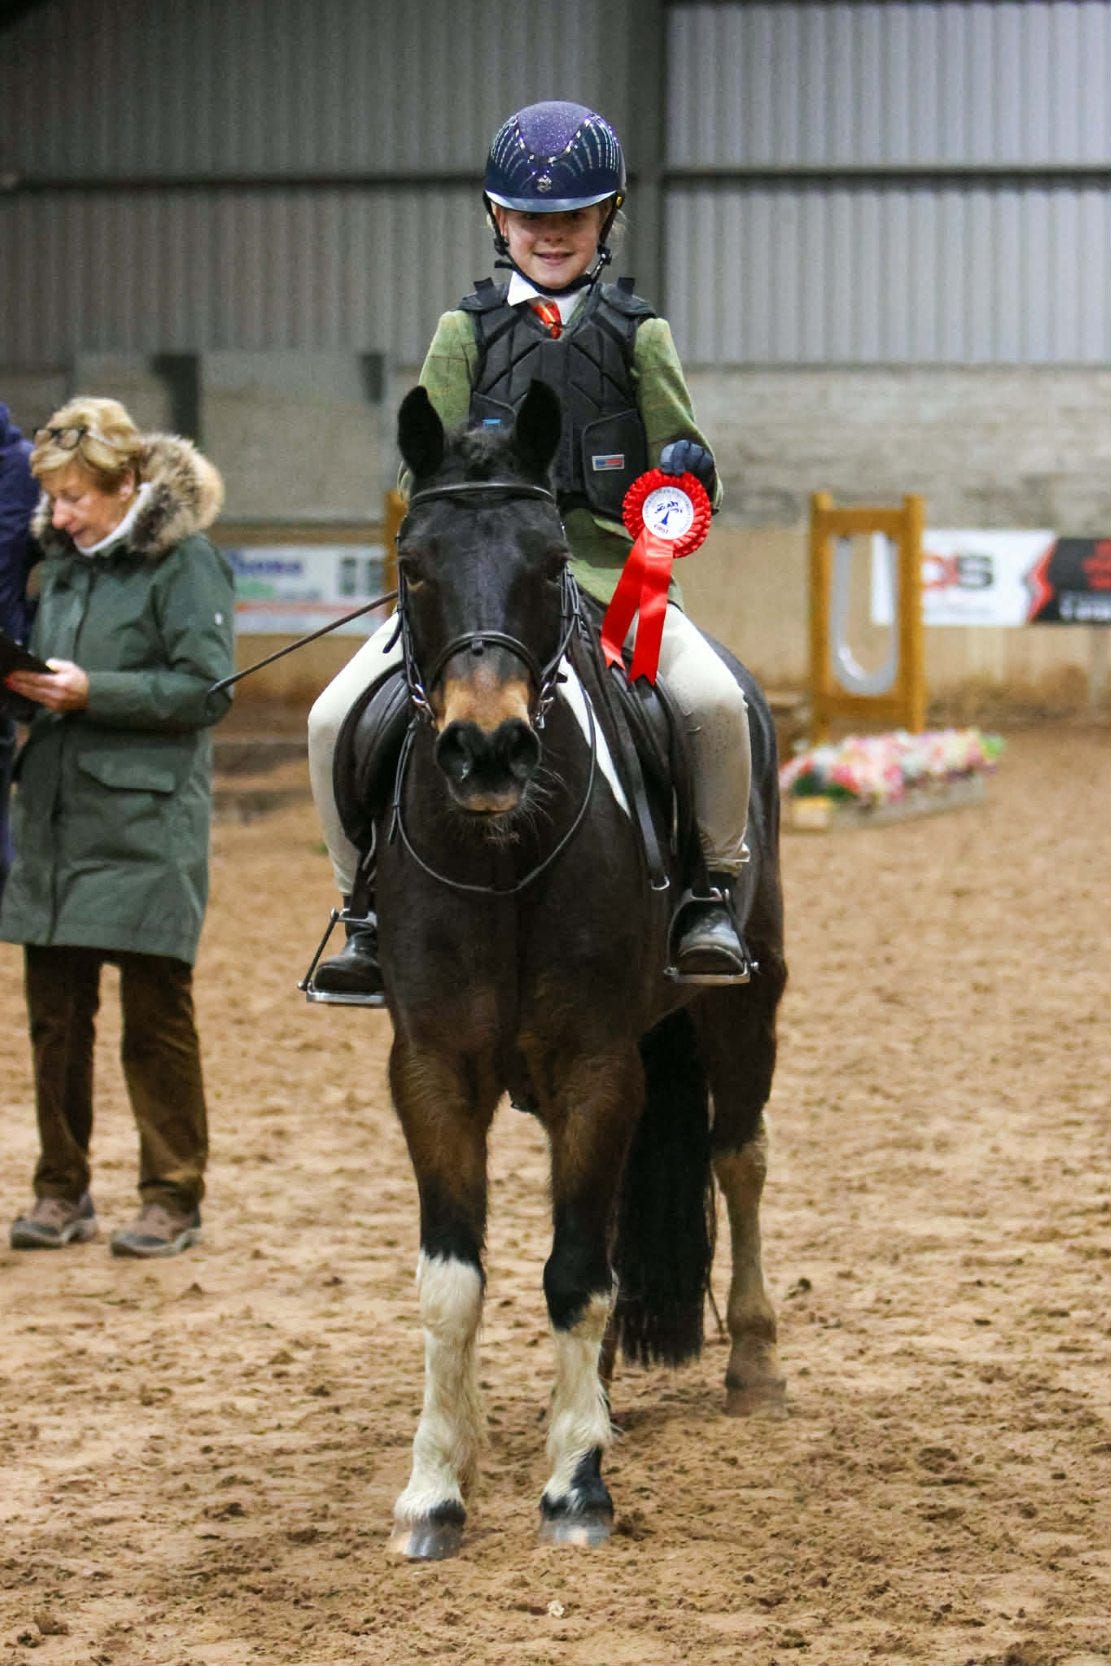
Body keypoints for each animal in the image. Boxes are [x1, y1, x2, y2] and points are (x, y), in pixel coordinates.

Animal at [352, 381, 787, 1559]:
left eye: (550, 561)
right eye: (414, 564)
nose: (487, 751)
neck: (501, 854)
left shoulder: (596, 1065)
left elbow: (575, 1272)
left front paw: (574, 1485)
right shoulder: (432, 1070)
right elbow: (452, 1283)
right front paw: (434, 1488)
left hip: (747, 1001)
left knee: (737, 1158)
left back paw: (751, 1363)